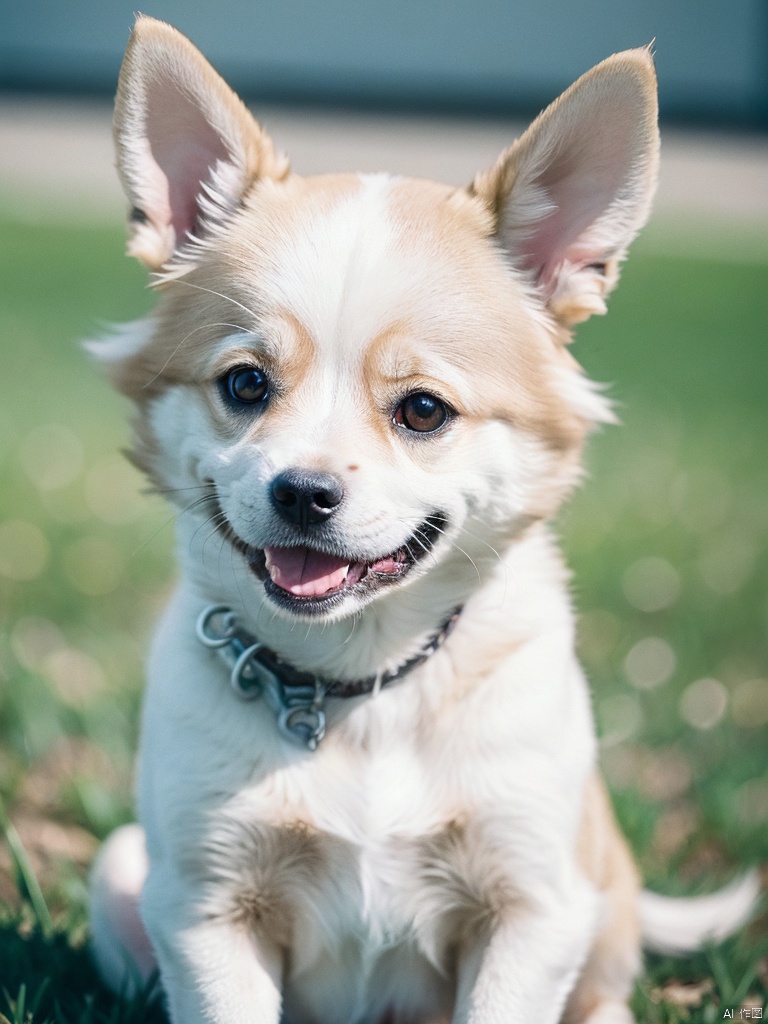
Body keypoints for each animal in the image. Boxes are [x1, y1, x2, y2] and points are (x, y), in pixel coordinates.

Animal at [88, 18, 757, 1024]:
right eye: (244, 385)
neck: (361, 685)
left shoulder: (533, 909)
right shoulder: (204, 908)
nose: (302, 492)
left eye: (424, 411)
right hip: (120, 862)